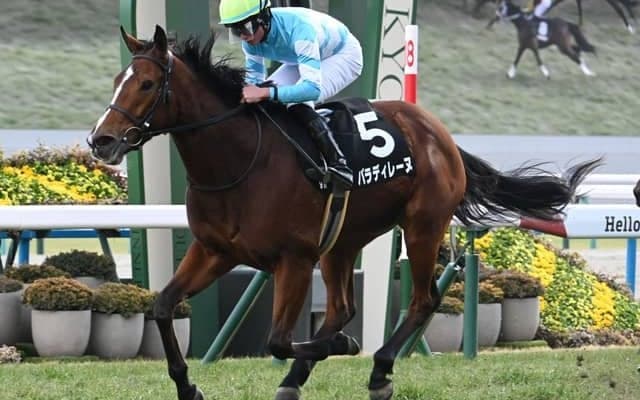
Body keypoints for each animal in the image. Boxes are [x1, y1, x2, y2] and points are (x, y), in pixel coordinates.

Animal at [87, 25, 601, 400]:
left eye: (147, 84)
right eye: (116, 82)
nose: (100, 140)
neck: (239, 162)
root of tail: (442, 136)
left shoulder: (293, 259)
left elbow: (276, 338)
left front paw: (345, 347)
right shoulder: (215, 250)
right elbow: (162, 305)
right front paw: (188, 386)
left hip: (423, 226)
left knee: (422, 300)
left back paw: (378, 370)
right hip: (342, 241)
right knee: (341, 308)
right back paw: (296, 379)